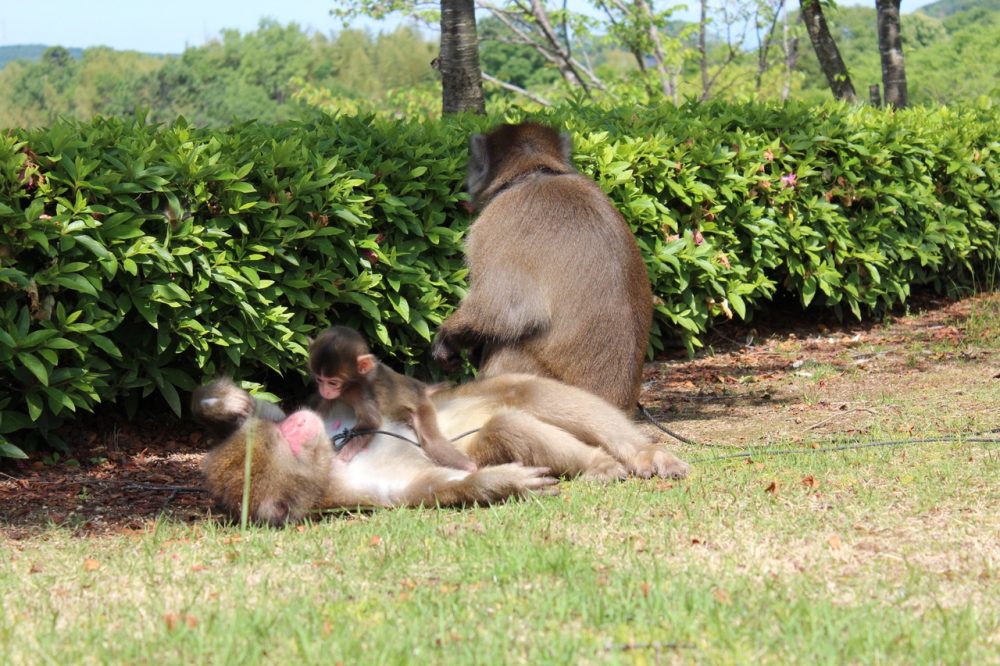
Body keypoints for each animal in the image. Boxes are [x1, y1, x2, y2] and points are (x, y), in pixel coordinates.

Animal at [189, 374, 688, 524]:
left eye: (293, 428)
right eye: (291, 442)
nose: (300, 423)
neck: (332, 460)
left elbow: (265, 408)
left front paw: (225, 404)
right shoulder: (365, 493)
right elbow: (434, 487)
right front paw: (502, 482)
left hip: (458, 411)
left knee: (524, 391)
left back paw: (637, 454)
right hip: (469, 436)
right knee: (505, 424)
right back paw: (599, 464)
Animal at [308, 324, 476, 470]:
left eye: (333, 382)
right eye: (319, 380)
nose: (324, 390)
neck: (350, 385)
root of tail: (420, 387)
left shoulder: (363, 392)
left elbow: (371, 423)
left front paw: (341, 459)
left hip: (422, 404)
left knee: (432, 441)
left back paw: (470, 466)